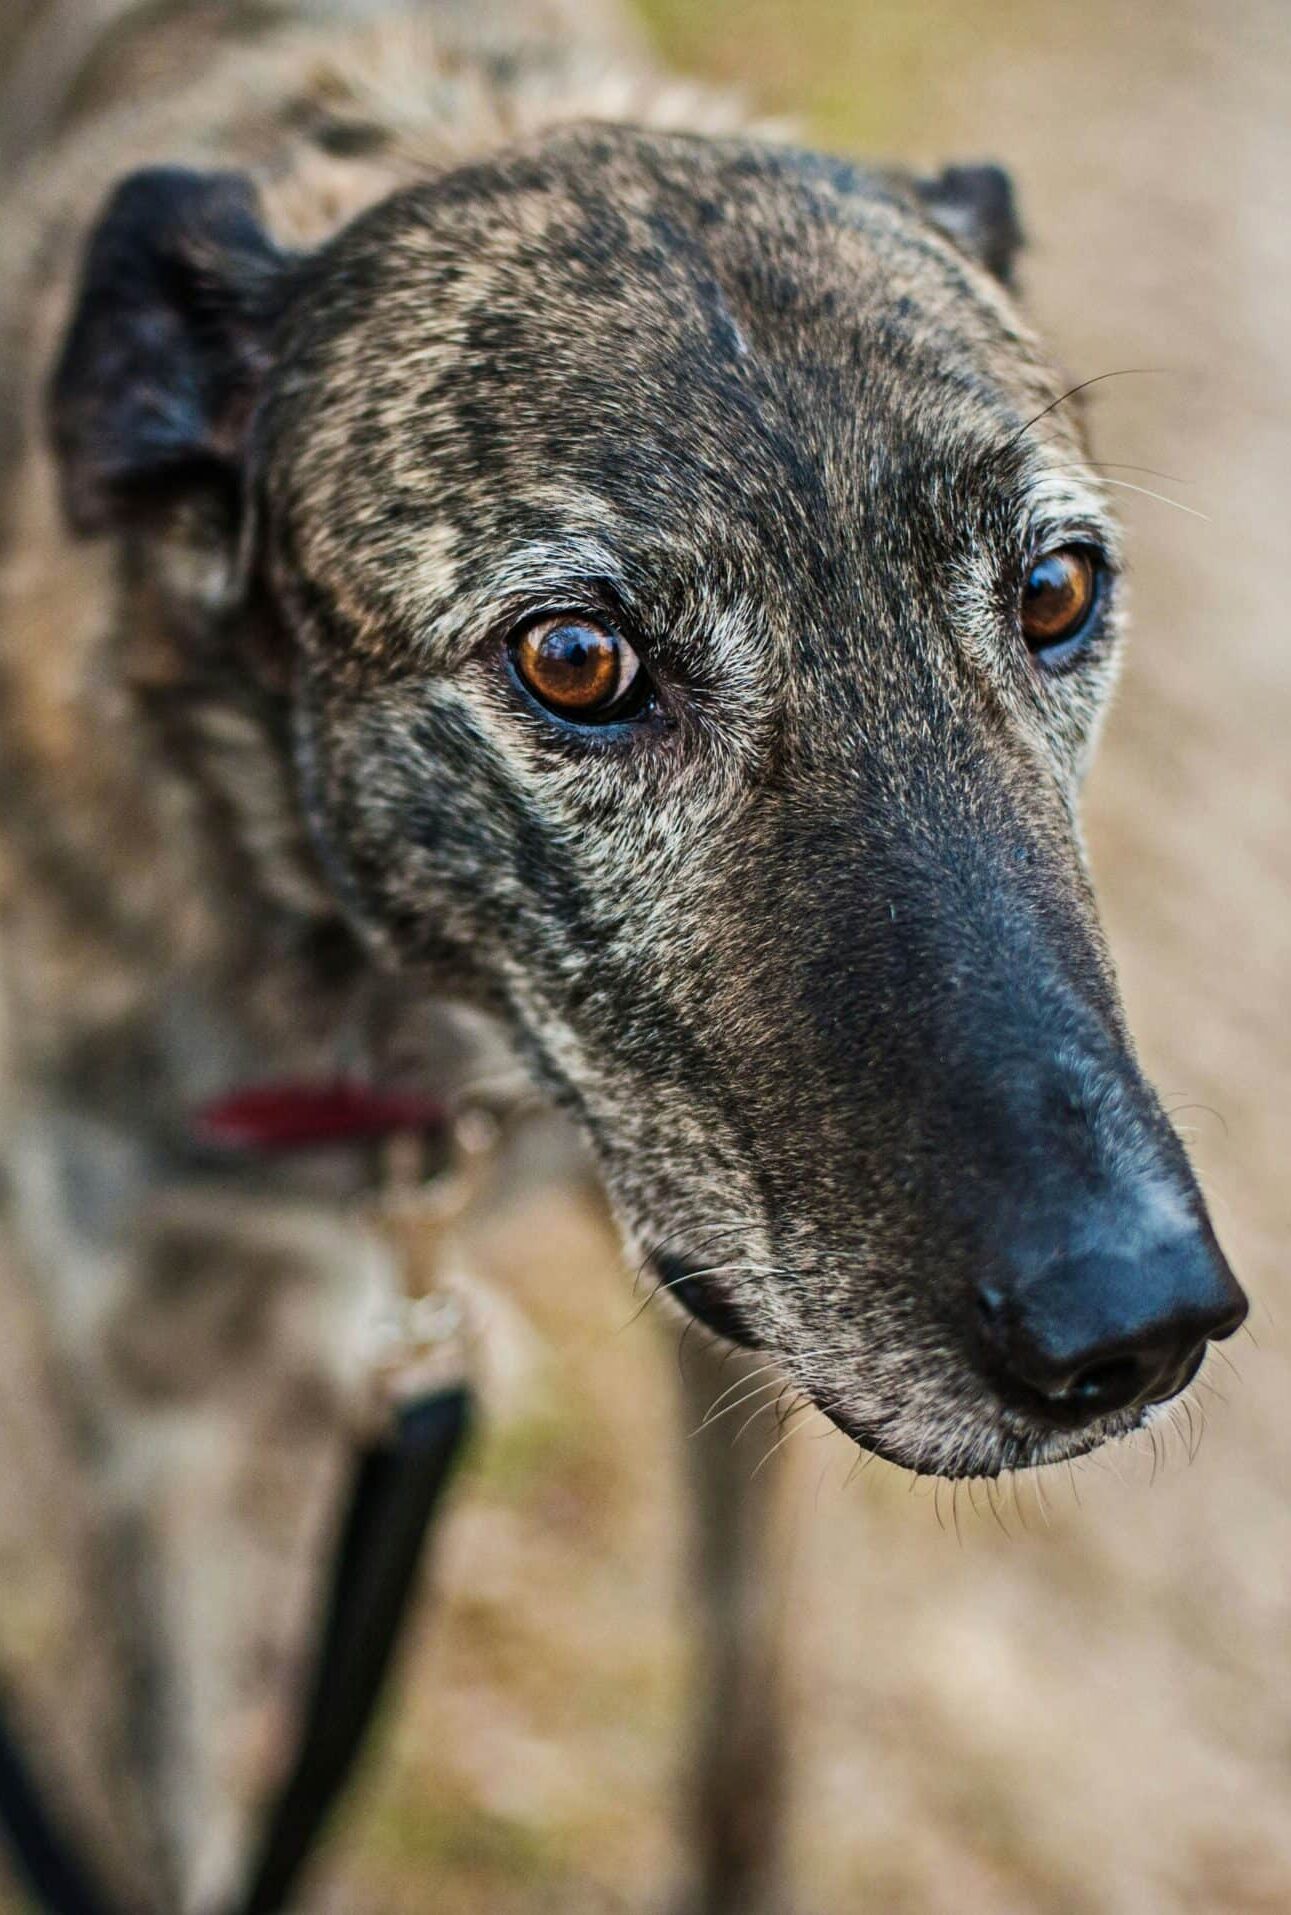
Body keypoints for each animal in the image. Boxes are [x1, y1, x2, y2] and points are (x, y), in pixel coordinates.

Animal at [0, 3, 1248, 1915]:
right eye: (575, 658)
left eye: (1053, 590)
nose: (1135, 1326)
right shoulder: (140, 1411)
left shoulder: (740, 1340)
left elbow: (744, 1742)